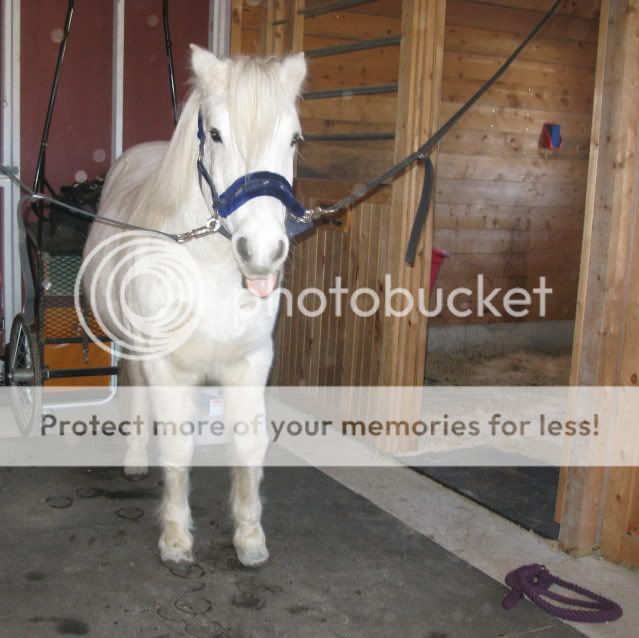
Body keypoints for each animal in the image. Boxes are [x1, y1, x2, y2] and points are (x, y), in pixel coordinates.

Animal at [82, 50, 308, 568]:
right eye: (218, 134)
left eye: (293, 138)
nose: (261, 253)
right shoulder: (167, 367)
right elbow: (177, 443)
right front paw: (176, 540)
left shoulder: (251, 363)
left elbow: (248, 442)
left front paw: (250, 538)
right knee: (135, 393)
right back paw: (134, 461)